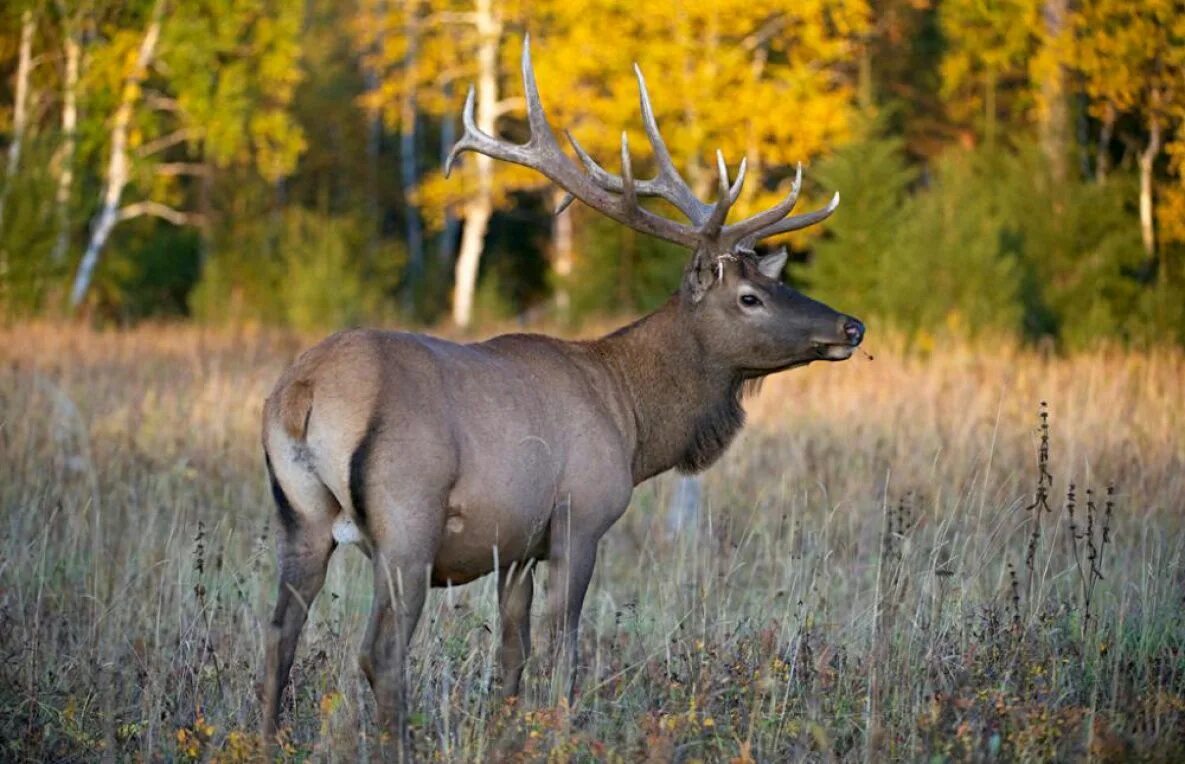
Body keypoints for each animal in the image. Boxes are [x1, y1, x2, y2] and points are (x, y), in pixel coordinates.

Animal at [264, 38, 867, 753]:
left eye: (771, 283)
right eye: (749, 297)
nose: (850, 327)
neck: (631, 422)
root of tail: (301, 395)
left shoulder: (518, 543)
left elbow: (513, 652)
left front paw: (508, 730)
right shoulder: (581, 517)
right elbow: (565, 648)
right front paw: (559, 730)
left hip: (300, 517)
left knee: (279, 634)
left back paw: (262, 739)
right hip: (407, 517)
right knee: (380, 650)